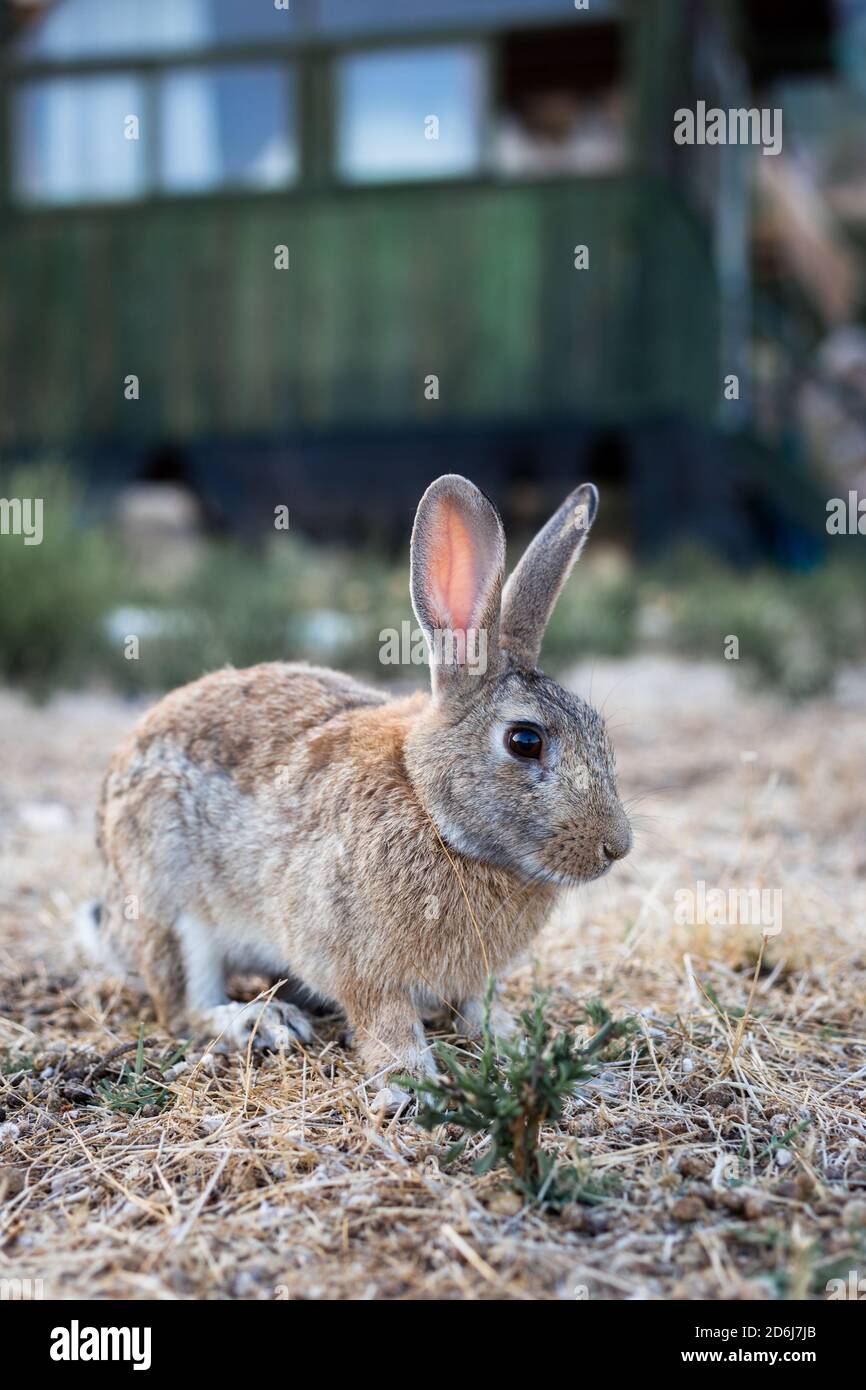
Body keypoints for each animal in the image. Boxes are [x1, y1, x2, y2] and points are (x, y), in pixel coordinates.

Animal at [87, 474, 632, 1090]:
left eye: (599, 730)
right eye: (525, 741)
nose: (618, 846)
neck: (428, 805)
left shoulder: (471, 979)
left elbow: (477, 1006)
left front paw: (512, 1041)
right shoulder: (359, 962)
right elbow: (383, 1016)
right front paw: (410, 1080)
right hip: (170, 900)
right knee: (182, 1004)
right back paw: (261, 1020)